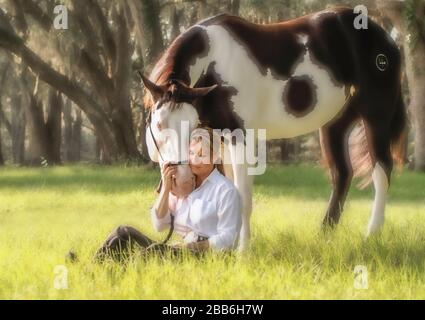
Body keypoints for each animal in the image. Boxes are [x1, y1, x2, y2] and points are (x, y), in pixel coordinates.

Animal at [141, 5, 406, 250]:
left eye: (191, 128)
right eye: (158, 124)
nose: (181, 179)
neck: (214, 63)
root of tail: (385, 39)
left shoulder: (240, 137)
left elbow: (243, 197)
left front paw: (242, 253)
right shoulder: (220, 139)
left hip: (376, 117)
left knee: (381, 170)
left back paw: (371, 234)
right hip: (334, 124)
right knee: (342, 174)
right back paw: (324, 236)